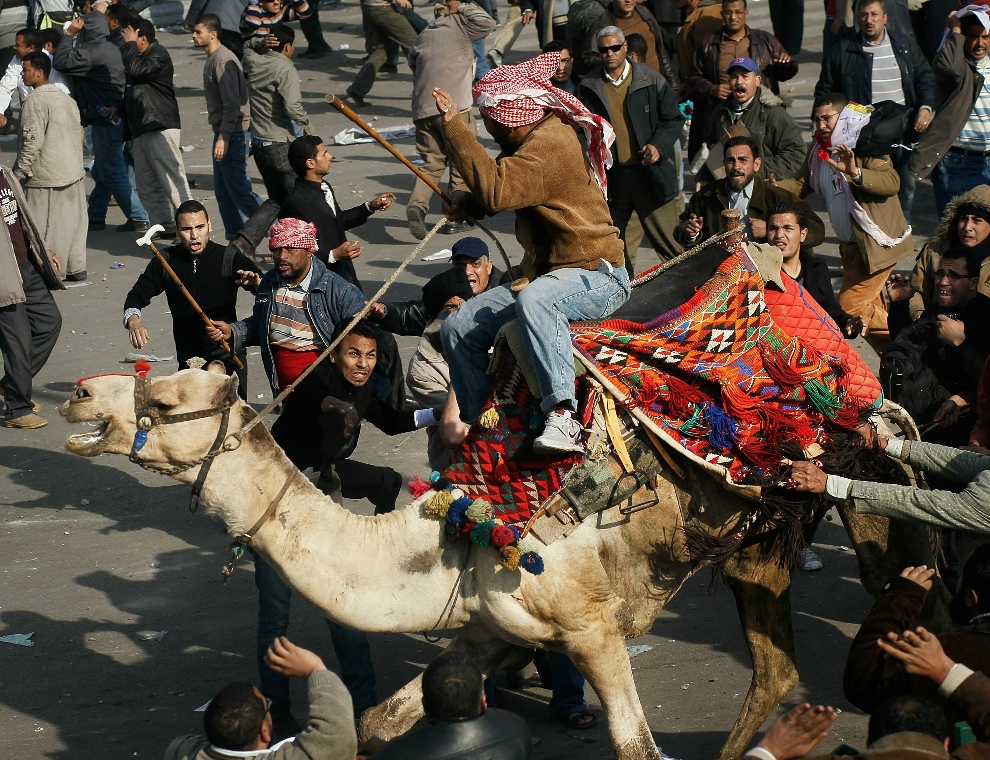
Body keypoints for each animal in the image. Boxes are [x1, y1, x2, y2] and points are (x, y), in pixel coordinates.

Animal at [58, 362, 948, 760]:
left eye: (164, 400)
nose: (78, 392)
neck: (451, 533)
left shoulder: (590, 626)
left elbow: (636, 745)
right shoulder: (488, 627)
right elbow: (385, 720)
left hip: (864, 484)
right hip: (756, 543)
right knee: (774, 661)